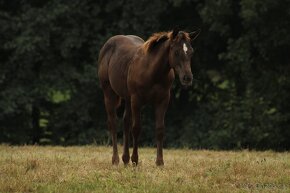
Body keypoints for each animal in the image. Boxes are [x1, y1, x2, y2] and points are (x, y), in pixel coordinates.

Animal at [98, 29, 201, 166]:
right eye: (176, 52)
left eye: (191, 52)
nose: (187, 78)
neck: (153, 71)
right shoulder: (136, 100)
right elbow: (136, 128)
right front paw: (135, 160)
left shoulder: (163, 101)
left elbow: (160, 129)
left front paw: (160, 162)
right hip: (109, 93)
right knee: (113, 123)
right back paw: (115, 160)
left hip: (127, 98)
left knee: (126, 122)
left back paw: (125, 159)